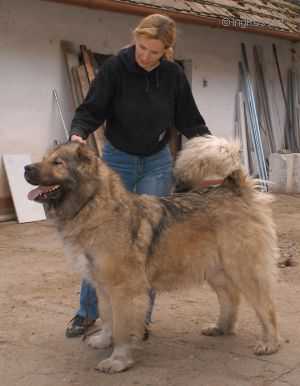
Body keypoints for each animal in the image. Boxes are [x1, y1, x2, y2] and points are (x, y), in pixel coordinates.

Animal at [24, 136, 280, 374]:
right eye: (45, 158)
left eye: (57, 162)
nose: (26, 168)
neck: (93, 206)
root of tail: (237, 190)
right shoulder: (102, 286)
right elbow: (107, 317)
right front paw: (104, 340)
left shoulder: (123, 290)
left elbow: (121, 327)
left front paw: (118, 360)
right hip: (215, 270)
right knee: (230, 297)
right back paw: (221, 327)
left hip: (244, 269)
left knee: (265, 307)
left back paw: (269, 343)